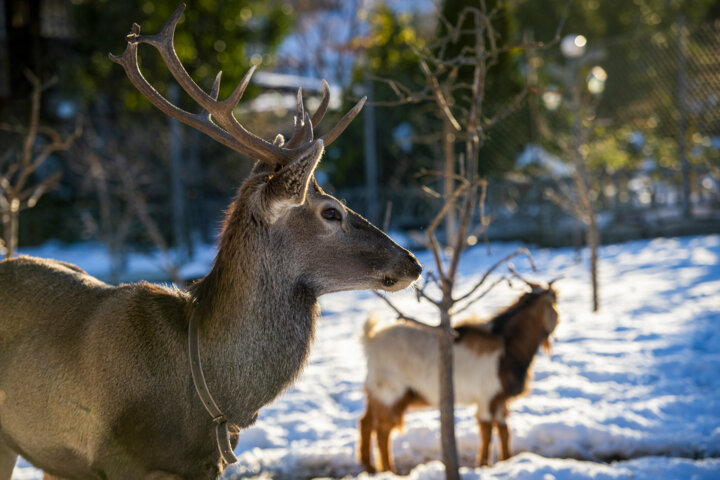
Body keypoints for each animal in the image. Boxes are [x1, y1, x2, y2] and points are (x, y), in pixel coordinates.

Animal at [358, 284, 556, 472]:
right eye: (554, 301)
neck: (506, 347)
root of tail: (371, 339)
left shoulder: (499, 400)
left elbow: (503, 429)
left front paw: (506, 461)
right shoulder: (487, 398)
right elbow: (487, 430)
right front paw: (483, 465)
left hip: (376, 393)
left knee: (366, 422)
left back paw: (369, 466)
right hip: (390, 393)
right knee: (383, 429)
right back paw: (388, 469)